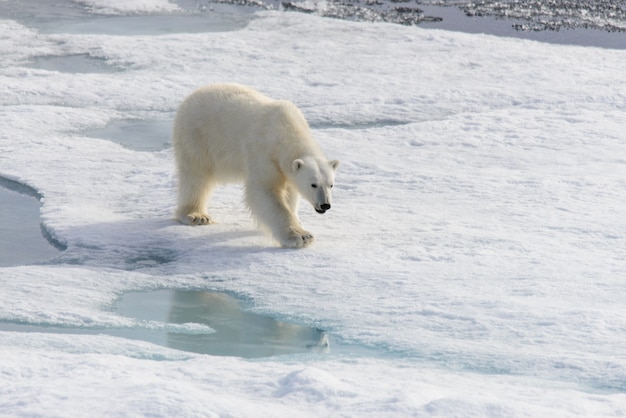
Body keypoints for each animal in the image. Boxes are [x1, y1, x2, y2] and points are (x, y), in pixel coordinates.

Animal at [171, 83, 338, 250]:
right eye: (313, 184)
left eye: (331, 185)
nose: (325, 205)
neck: (286, 129)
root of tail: (191, 96)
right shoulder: (264, 152)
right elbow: (265, 191)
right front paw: (301, 237)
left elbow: (290, 193)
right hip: (198, 136)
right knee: (196, 176)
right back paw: (196, 216)